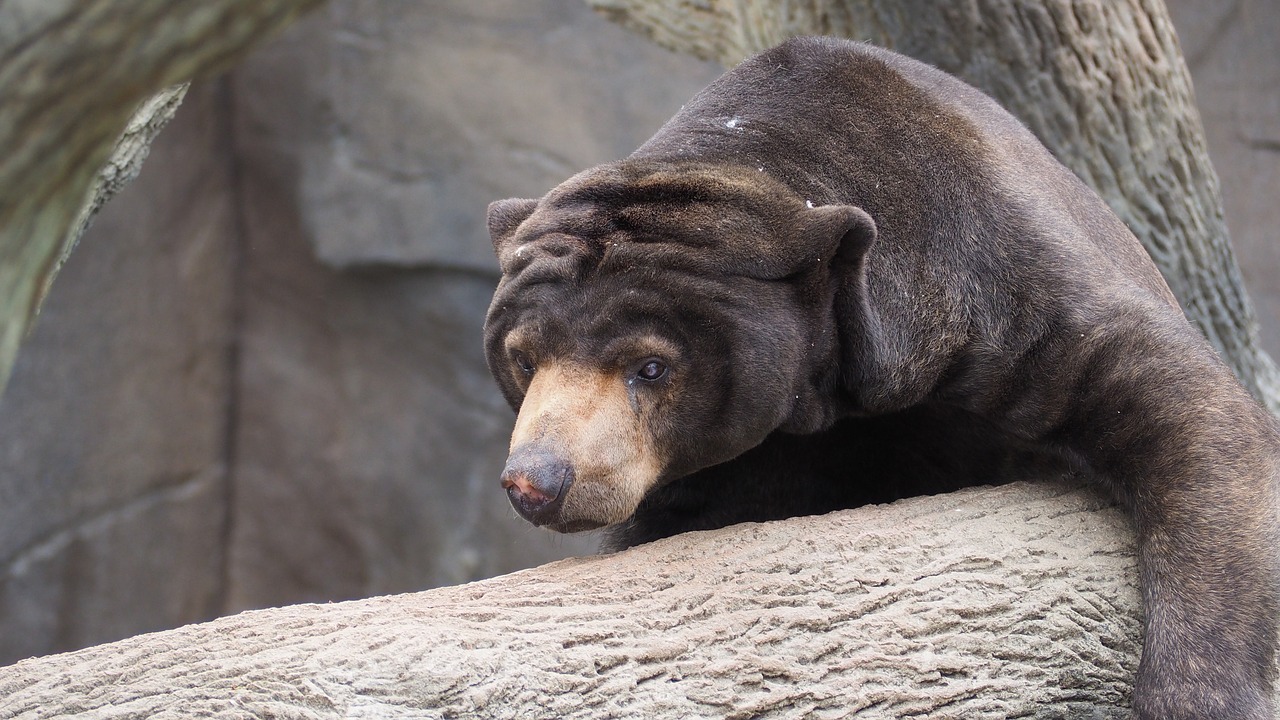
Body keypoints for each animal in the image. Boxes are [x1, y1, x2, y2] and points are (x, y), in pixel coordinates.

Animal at [481, 35, 1280, 717]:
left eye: (650, 366)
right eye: (523, 358)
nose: (538, 481)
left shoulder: (1007, 286)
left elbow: (1185, 408)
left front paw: (1197, 694)